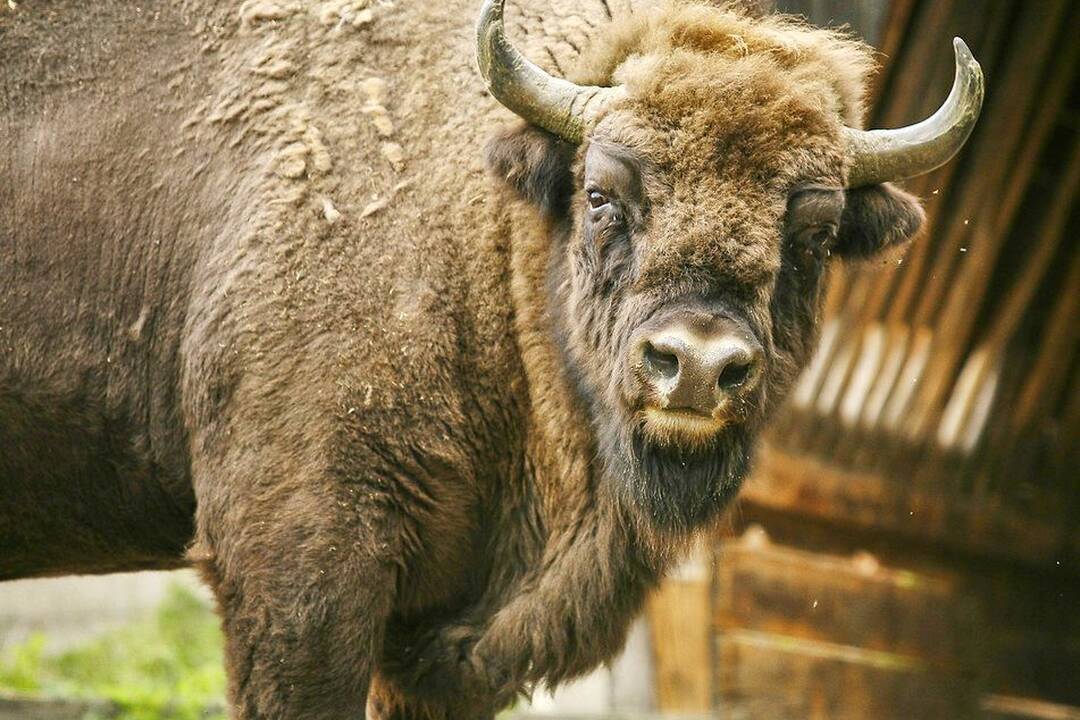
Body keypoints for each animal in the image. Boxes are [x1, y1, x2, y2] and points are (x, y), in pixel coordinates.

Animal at [0, 0, 980, 716]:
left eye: (813, 235)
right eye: (601, 194)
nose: (697, 365)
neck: (488, 235)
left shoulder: (439, 642)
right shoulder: (297, 570)